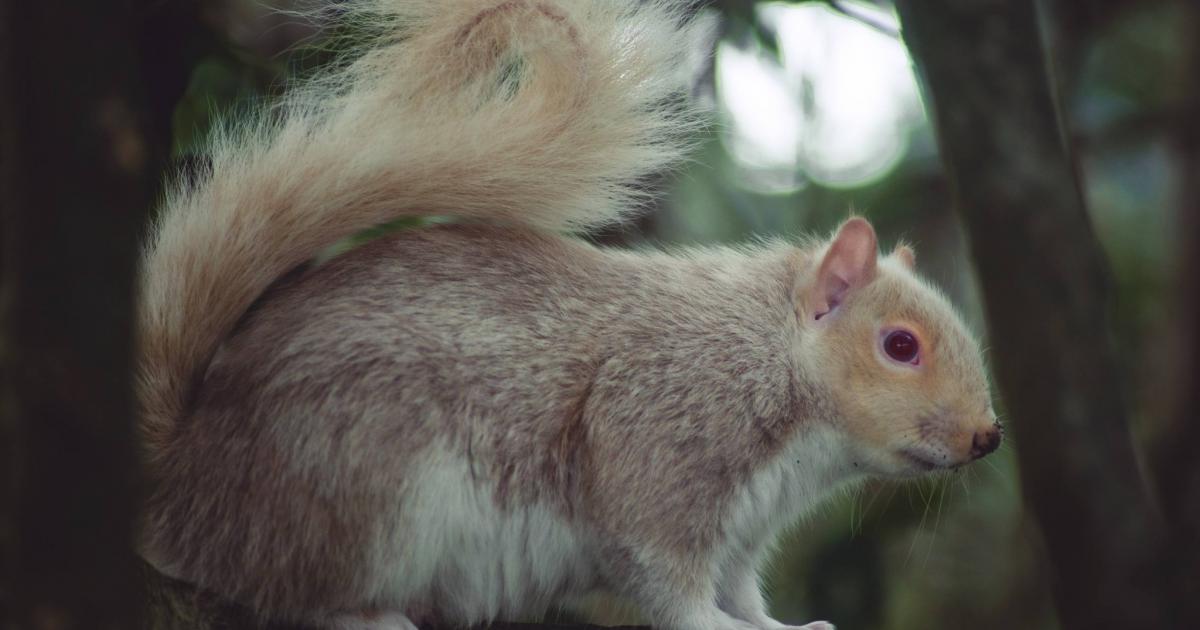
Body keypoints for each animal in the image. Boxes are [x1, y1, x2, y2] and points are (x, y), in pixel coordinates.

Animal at [135, 1, 1002, 629]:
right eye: (900, 345)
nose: (987, 437)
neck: (765, 359)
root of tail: (185, 478)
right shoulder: (658, 443)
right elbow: (667, 582)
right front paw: (719, 627)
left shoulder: (741, 538)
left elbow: (741, 593)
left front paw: (783, 628)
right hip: (361, 487)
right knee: (290, 591)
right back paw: (366, 617)